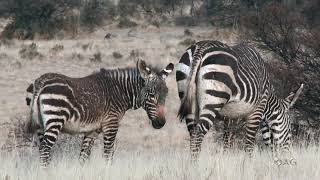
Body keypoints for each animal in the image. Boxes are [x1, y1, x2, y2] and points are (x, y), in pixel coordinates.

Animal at [26, 59, 174, 167]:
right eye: (151, 95)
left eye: (166, 94)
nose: (161, 123)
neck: (119, 92)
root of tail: (41, 81)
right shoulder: (111, 124)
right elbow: (108, 155)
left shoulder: (92, 130)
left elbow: (84, 157)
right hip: (55, 119)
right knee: (45, 150)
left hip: (41, 125)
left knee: (43, 150)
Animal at [176, 40, 304, 163]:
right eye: (289, 129)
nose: (290, 160)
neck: (268, 103)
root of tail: (201, 47)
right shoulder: (257, 111)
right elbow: (249, 145)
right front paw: (248, 167)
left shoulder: (229, 116)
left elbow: (227, 141)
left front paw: (225, 161)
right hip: (213, 98)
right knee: (198, 134)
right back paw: (195, 166)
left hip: (189, 99)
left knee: (193, 135)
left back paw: (192, 166)